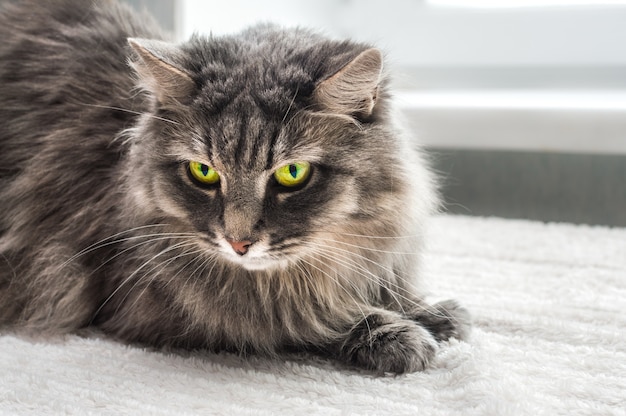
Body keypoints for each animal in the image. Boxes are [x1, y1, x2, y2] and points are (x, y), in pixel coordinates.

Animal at [0, 0, 468, 376]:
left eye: (292, 173)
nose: (238, 243)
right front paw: (392, 331)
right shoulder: (155, 307)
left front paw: (429, 311)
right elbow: (296, 321)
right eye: (203, 173)